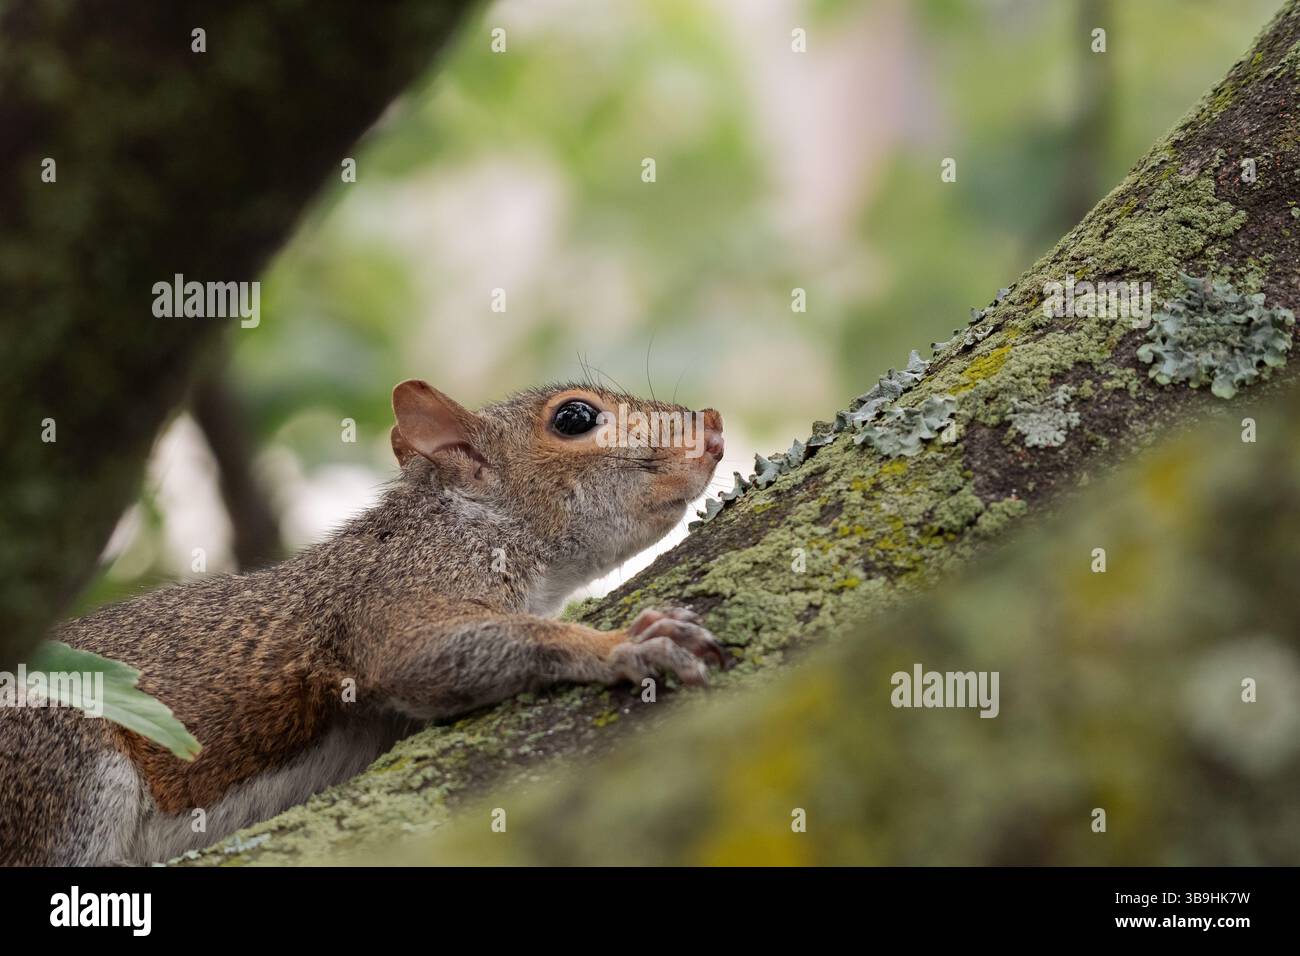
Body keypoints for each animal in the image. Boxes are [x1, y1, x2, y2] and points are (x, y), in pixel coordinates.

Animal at [0, 380, 728, 865]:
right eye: (576, 418)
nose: (714, 426)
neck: (475, 518)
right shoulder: (400, 593)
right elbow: (419, 651)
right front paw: (625, 644)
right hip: (60, 763)